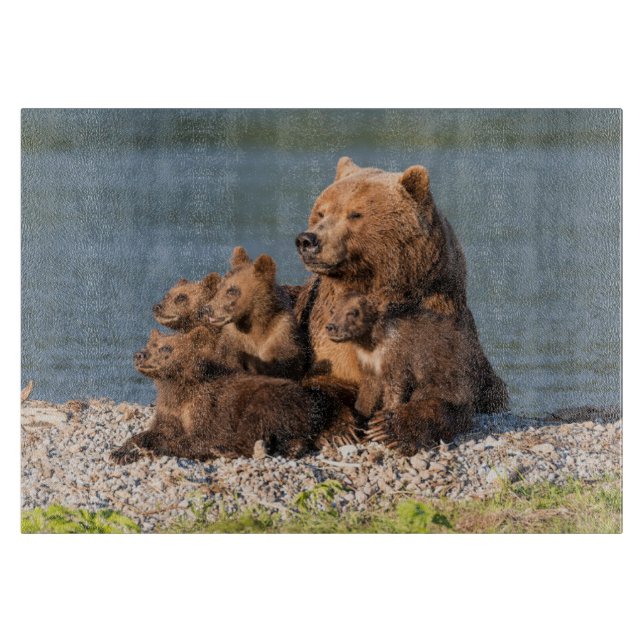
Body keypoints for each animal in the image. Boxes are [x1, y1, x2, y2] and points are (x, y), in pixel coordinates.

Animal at [110, 327, 336, 463]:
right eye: (149, 344)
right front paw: (121, 451)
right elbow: (156, 430)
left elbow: (201, 436)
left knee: (252, 428)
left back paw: (223, 449)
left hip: (272, 400)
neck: (177, 386)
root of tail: (312, 401)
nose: (140, 355)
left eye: (166, 348)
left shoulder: (206, 406)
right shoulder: (170, 409)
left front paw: (154, 449)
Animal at [203, 246, 308, 380]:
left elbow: (286, 362)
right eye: (219, 286)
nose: (208, 309)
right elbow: (225, 359)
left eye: (232, 290)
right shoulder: (233, 339)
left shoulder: (282, 334)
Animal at [326, 292, 475, 454]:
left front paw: (380, 420)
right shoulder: (369, 362)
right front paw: (358, 419)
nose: (331, 327)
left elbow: (395, 387)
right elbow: (368, 390)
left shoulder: (399, 355)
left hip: (450, 379)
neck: (372, 342)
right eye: (333, 310)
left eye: (352, 312)